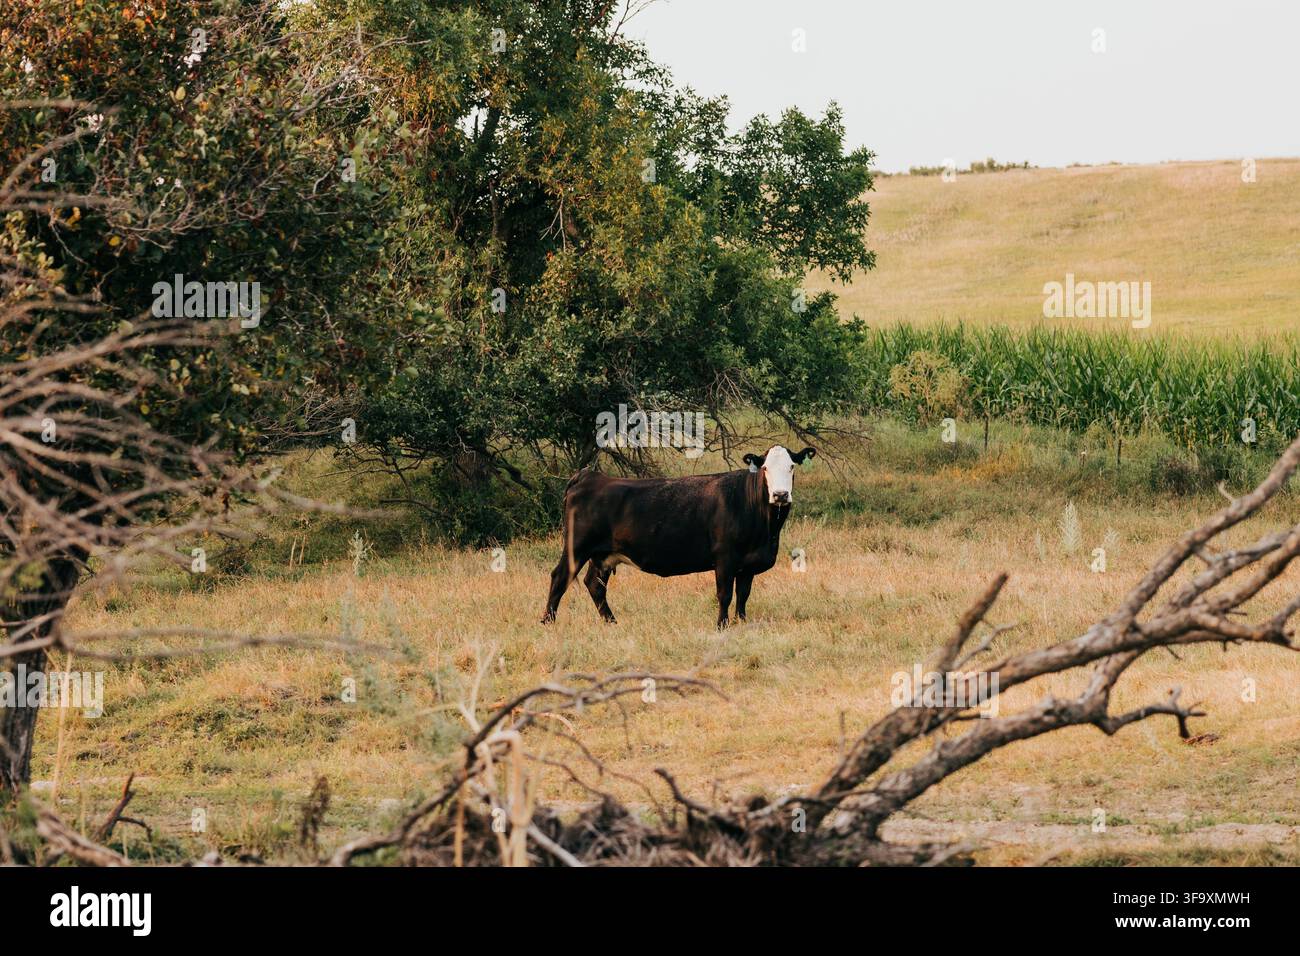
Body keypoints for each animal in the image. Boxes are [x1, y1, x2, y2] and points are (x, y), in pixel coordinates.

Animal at [540, 445, 817, 628]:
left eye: (792, 466)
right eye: (766, 468)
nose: (780, 494)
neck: (765, 529)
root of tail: (589, 476)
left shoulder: (747, 564)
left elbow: (743, 595)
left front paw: (742, 622)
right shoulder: (725, 558)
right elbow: (724, 594)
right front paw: (722, 625)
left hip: (602, 555)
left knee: (595, 585)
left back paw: (612, 622)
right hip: (577, 547)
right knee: (560, 577)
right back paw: (548, 622)